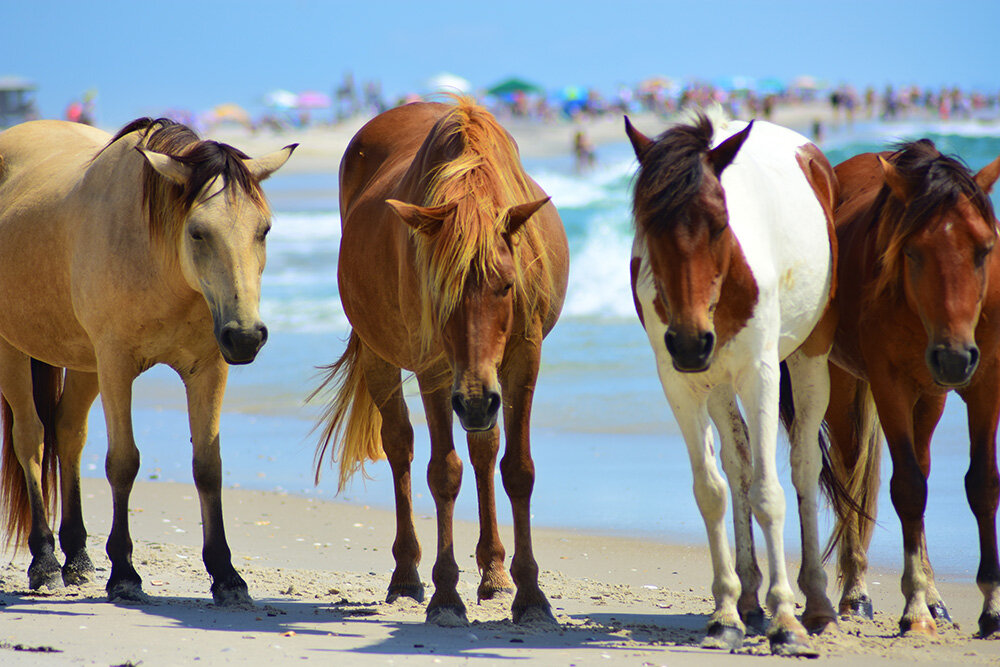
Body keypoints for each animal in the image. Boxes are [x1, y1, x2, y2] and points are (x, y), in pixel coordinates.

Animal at [0, 117, 294, 604]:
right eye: (198, 232)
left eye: (264, 230)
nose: (246, 337)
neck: (160, 263)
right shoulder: (116, 366)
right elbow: (123, 462)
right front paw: (124, 573)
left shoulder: (209, 369)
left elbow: (208, 466)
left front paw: (226, 574)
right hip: (15, 349)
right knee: (32, 439)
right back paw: (44, 562)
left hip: (84, 363)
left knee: (68, 433)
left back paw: (78, 559)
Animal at [312, 97, 569, 625]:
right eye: (438, 289)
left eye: (507, 285)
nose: (474, 401)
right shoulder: (435, 368)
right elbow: (444, 472)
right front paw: (446, 595)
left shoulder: (522, 359)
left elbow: (517, 469)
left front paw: (530, 595)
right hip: (380, 356)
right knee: (400, 446)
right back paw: (407, 575)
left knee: (484, 449)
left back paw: (494, 573)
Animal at [626, 110, 839, 654]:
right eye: (647, 227)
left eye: (721, 224)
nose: (689, 342)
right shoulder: (679, 383)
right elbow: (713, 490)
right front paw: (724, 611)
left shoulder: (759, 375)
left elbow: (768, 492)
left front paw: (786, 619)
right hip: (717, 383)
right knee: (737, 464)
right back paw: (747, 600)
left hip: (810, 357)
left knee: (803, 465)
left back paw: (817, 603)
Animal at [821, 141, 1000, 637]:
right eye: (914, 253)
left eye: (984, 250)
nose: (954, 357)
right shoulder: (890, 386)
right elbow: (907, 489)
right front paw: (915, 608)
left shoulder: (985, 384)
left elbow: (982, 484)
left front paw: (991, 608)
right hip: (842, 384)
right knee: (849, 473)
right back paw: (857, 595)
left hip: (931, 397)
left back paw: (937, 599)